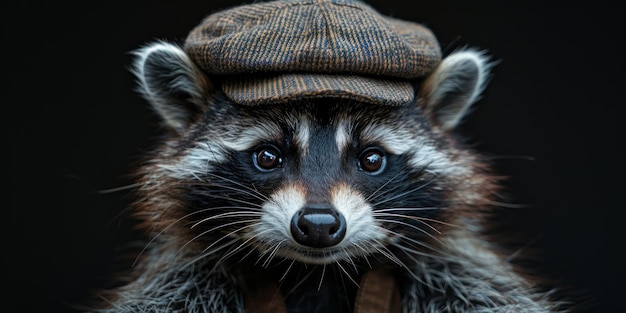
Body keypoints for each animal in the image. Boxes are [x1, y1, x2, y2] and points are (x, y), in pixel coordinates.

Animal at [85, 0, 568, 312]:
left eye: (371, 159)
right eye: (267, 157)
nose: (318, 224)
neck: (318, 276)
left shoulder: (461, 278)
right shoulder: (183, 284)